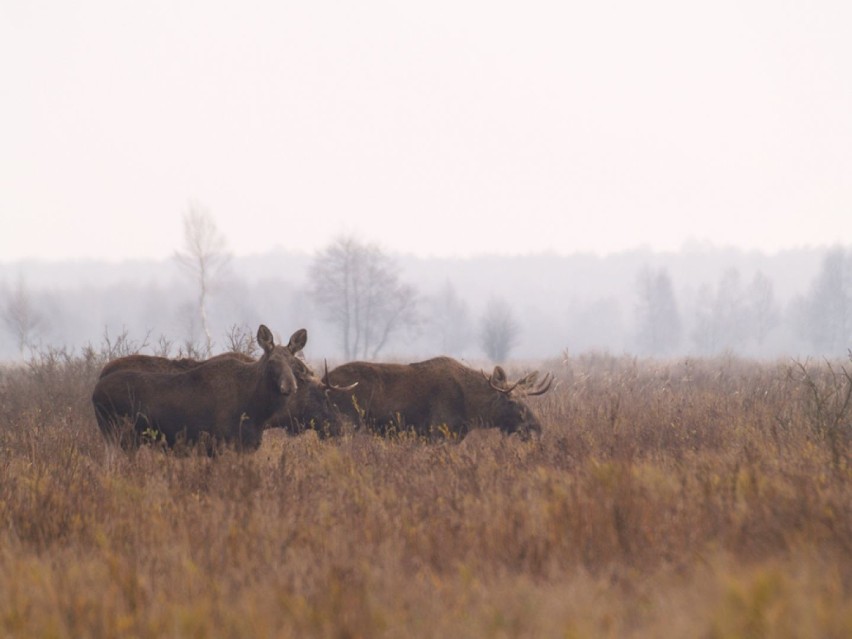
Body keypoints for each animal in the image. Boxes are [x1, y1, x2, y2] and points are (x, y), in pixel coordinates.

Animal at [90, 328, 316, 452]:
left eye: (294, 363)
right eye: (272, 362)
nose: (290, 386)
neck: (258, 410)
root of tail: (95, 391)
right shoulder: (224, 444)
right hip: (119, 436)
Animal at [324, 356, 552, 440]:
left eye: (527, 398)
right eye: (510, 401)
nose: (535, 427)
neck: (471, 408)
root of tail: (324, 378)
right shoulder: (437, 433)